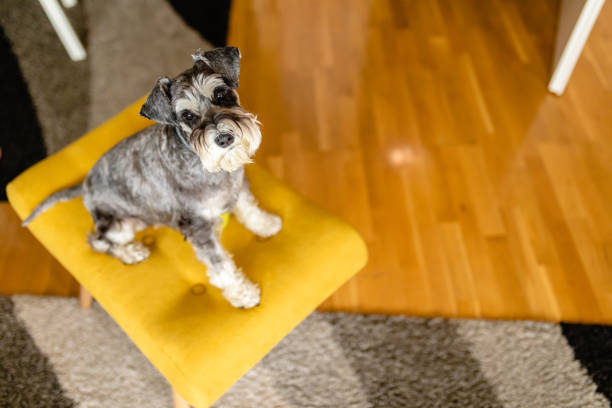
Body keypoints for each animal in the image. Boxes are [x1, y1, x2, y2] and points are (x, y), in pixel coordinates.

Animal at [21, 47, 282, 310]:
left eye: (219, 93)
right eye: (187, 115)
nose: (224, 138)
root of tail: (84, 186)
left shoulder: (237, 187)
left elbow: (249, 208)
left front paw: (265, 224)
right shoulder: (198, 228)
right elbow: (221, 266)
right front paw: (243, 294)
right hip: (121, 225)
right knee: (98, 241)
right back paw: (132, 253)